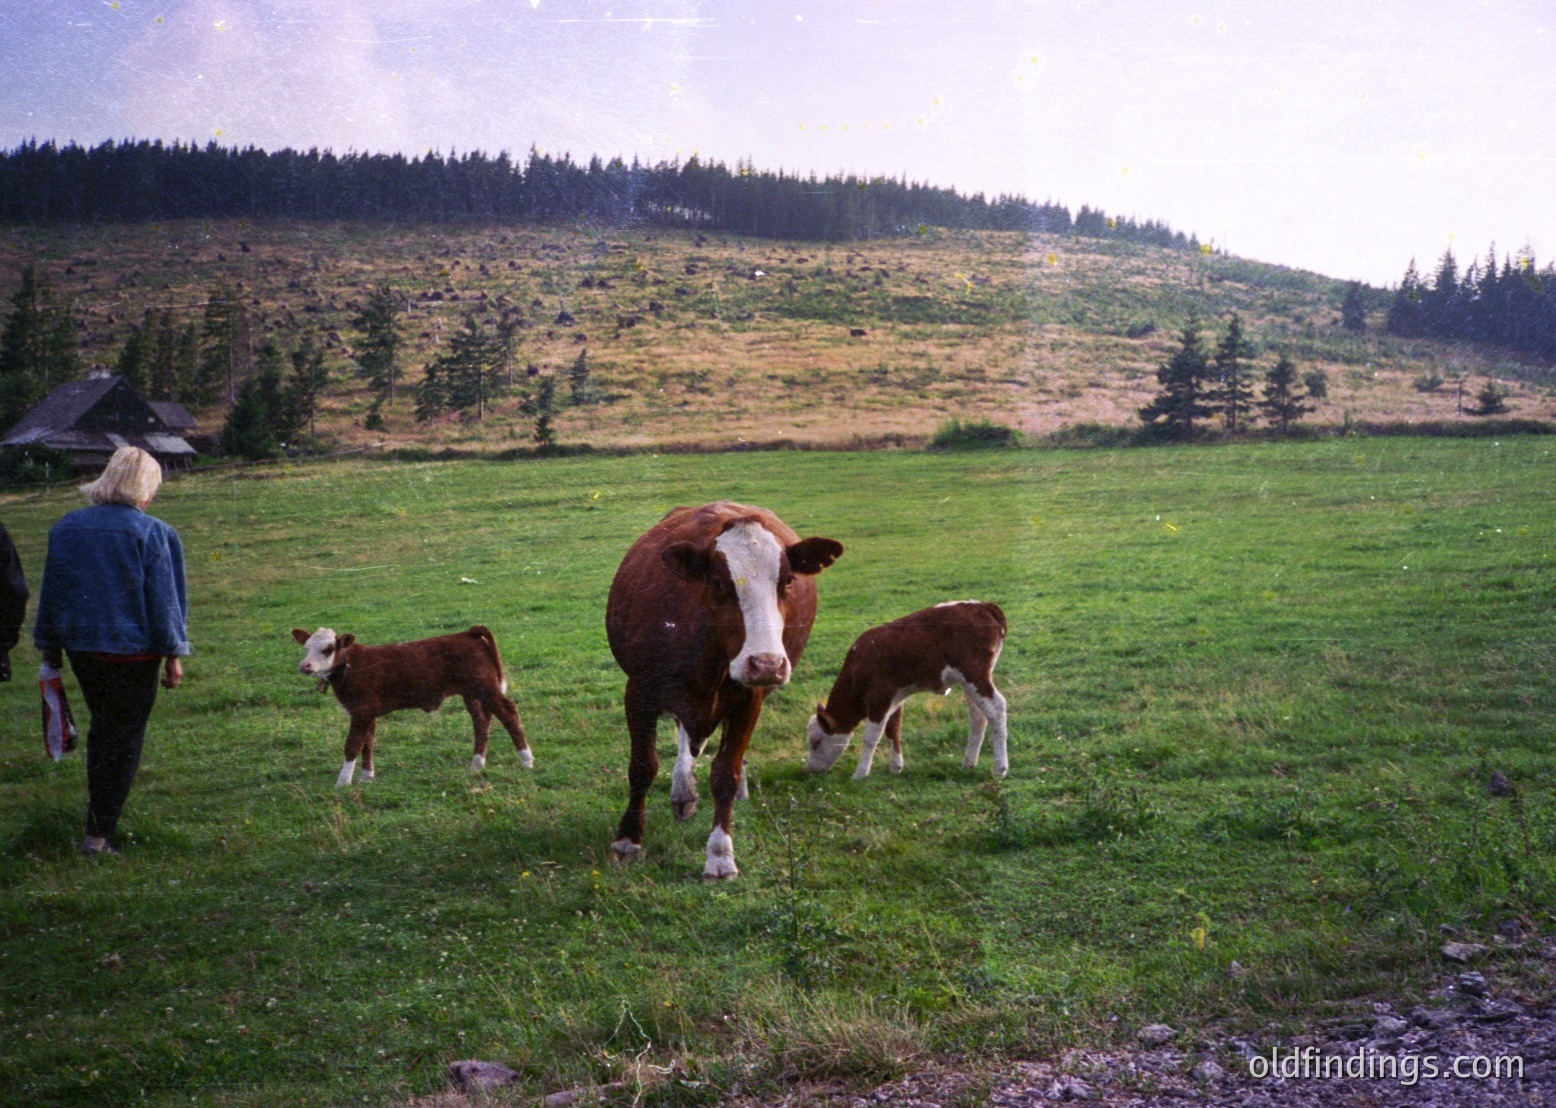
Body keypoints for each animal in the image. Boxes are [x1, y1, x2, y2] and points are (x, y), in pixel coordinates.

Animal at [291, 626, 532, 786]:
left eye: (328, 648)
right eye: (305, 648)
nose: (305, 666)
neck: (352, 665)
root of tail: (467, 633)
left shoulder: (362, 711)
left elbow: (352, 745)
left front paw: (343, 782)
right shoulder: (367, 713)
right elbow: (368, 743)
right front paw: (367, 778)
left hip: (487, 688)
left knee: (509, 713)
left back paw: (527, 761)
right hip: (472, 694)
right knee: (482, 721)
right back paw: (477, 765)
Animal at [606, 501, 843, 879]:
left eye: (788, 581)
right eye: (718, 582)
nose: (767, 664)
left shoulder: (749, 699)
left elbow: (724, 775)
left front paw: (720, 855)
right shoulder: (639, 692)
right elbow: (642, 767)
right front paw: (628, 840)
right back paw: (683, 790)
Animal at [804, 601, 1008, 780]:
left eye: (815, 742)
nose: (811, 770)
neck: (858, 663)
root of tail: (983, 606)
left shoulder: (879, 697)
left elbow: (871, 737)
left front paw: (860, 774)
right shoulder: (895, 697)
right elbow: (893, 729)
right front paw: (895, 767)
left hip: (975, 675)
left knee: (997, 708)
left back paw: (1000, 768)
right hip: (969, 682)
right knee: (978, 717)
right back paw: (968, 762)